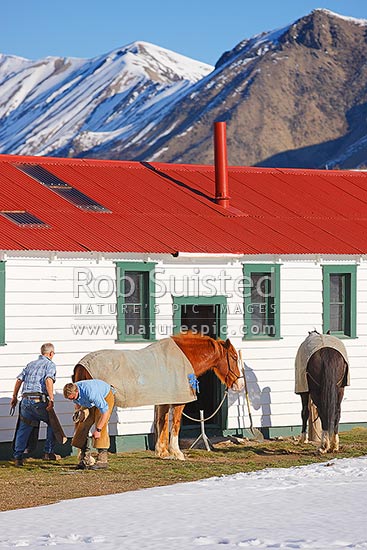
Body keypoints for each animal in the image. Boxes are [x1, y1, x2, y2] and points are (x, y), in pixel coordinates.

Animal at [72, 334, 244, 464]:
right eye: (234, 357)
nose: (240, 384)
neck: (183, 358)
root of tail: (81, 364)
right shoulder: (178, 402)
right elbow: (175, 425)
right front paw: (177, 453)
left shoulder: (164, 401)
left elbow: (162, 423)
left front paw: (163, 453)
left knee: (80, 425)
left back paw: (84, 458)